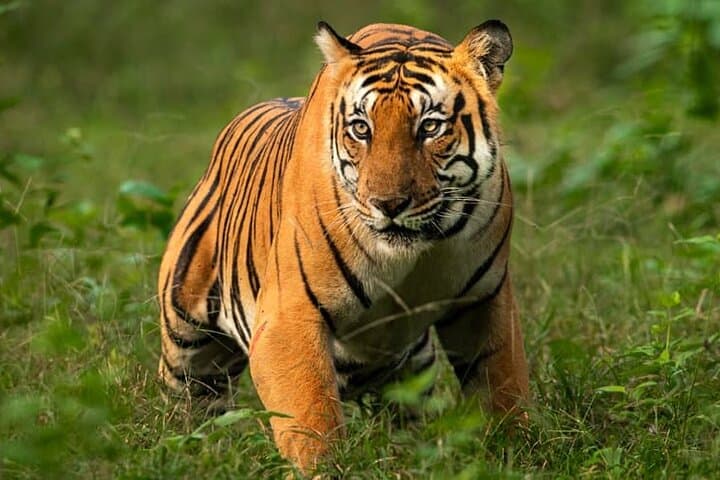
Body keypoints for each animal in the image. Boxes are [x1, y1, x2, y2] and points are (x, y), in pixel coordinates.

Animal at [158, 20, 529, 472]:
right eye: (361, 129)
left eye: (429, 127)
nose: (388, 204)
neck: (414, 255)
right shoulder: (289, 317)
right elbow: (312, 419)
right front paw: (325, 469)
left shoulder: (485, 299)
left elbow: (503, 387)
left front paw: (520, 453)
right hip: (188, 349)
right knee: (194, 405)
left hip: (411, 367)